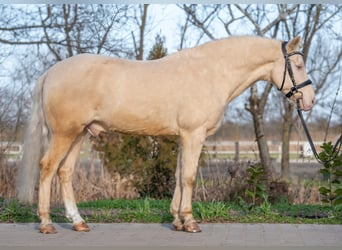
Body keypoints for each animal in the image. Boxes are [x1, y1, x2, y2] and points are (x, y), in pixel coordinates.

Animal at [16, 35, 316, 234]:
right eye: (298, 65)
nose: (310, 100)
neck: (211, 72)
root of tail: (51, 72)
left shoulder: (185, 136)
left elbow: (179, 175)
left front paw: (177, 220)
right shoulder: (194, 134)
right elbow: (189, 177)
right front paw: (190, 222)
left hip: (79, 134)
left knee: (64, 172)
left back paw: (78, 222)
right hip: (64, 134)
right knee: (47, 167)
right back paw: (46, 224)